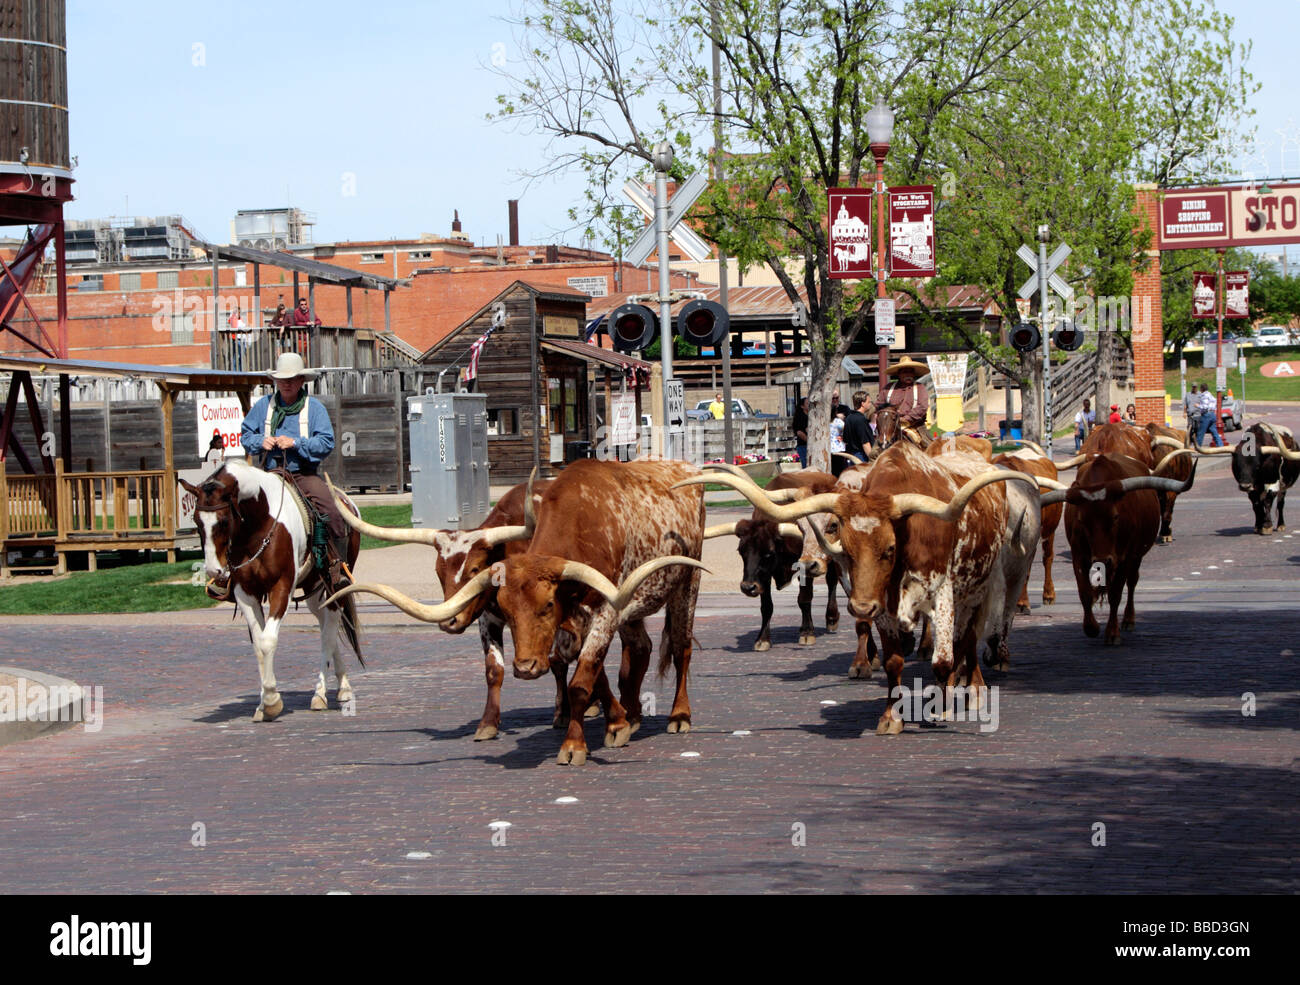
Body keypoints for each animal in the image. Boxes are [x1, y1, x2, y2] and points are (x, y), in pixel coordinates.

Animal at [180, 460, 364, 722]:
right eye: (197, 522)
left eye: (224, 521)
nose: (215, 570)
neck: (259, 526)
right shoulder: (245, 592)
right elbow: (258, 644)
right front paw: (262, 704)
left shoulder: (281, 588)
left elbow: (268, 641)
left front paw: (271, 702)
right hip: (314, 588)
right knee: (326, 624)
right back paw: (342, 685)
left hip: (332, 586)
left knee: (330, 626)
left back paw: (321, 694)